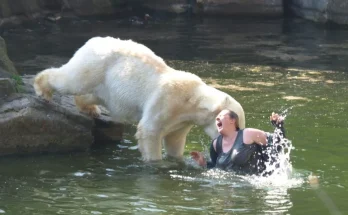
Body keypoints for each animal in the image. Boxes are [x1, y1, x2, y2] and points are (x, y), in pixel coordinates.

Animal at [33, 36, 245, 161]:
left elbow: (174, 139)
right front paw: (155, 163)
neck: (192, 99)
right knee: (72, 80)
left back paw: (90, 108)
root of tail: (93, 40)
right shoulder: (166, 101)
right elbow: (149, 131)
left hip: (106, 84)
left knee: (94, 94)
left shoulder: (182, 121)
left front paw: (177, 160)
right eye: (237, 124)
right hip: (95, 64)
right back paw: (43, 89)